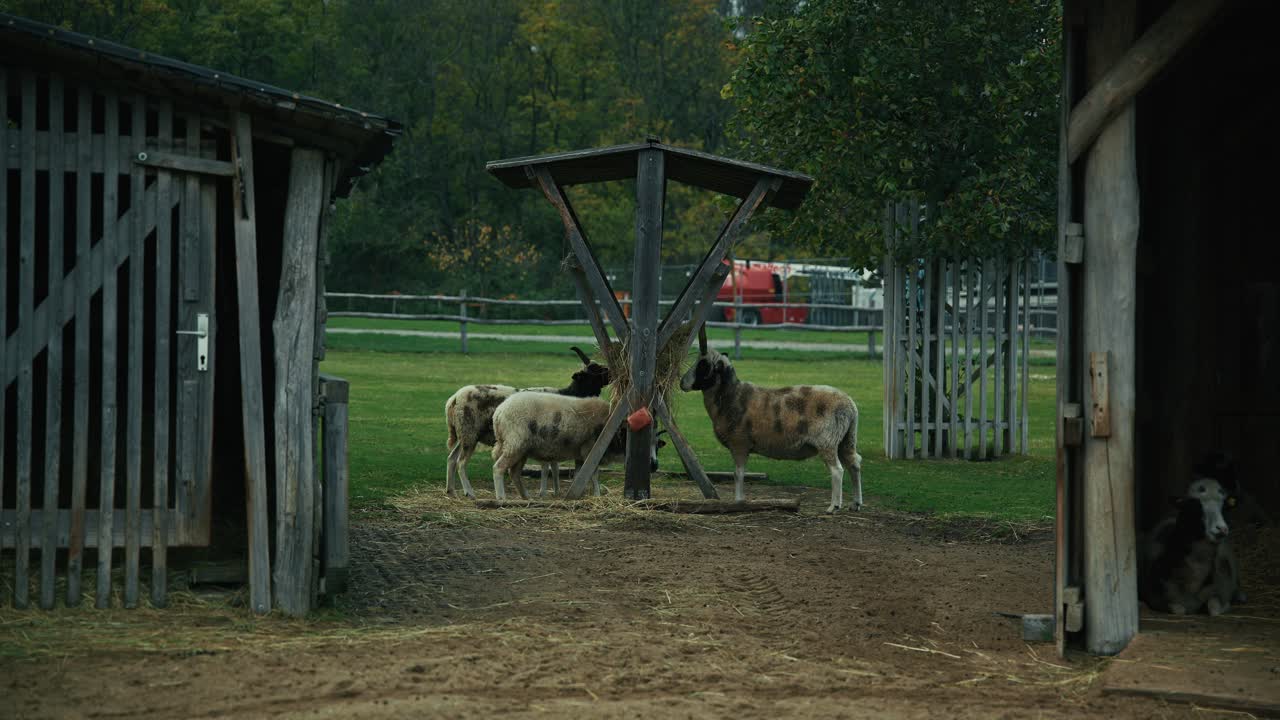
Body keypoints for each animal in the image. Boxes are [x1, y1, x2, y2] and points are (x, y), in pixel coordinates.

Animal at [444, 347, 610, 498]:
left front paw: (556, 491)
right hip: (470, 433)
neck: (569, 393)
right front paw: (543, 492)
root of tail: (453, 400)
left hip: (464, 434)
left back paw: (451, 491)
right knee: (461, 463)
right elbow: (546, 467)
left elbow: (554, 466)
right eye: (594, 371)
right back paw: (469, 493)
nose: (610, 374)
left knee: (451, 458)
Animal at [489, 393, 664, 500]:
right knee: (498, 468)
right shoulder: (590, 450)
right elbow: (594, 475)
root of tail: (499, 413)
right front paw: (597, 495)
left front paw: (575, 493)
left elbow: (579, 474)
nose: (654, 466)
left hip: (520, 449)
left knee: (514, 473)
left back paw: (526, 497)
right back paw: (501, 498)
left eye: (658, 445)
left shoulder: (580, 455)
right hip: (515, 444)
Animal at [679, 329, 862, 514]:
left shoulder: (739, 443)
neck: (731, 396)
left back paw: (834, 506)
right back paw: (856, 503)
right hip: (847, 439)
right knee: (854, 463)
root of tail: (849, 404)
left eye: (703, 365)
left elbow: (738, 474)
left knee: (837, 470)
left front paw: (738, 501)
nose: (681, 383)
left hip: (827, 440)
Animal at [1139, 469, 1243, 617]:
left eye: (1225, 507)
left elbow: (1214, 609)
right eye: (1194, 505)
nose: (1221, 529)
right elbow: (1179, 610)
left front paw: (1225, 606)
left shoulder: (1219, 591)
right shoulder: (1157, 599)